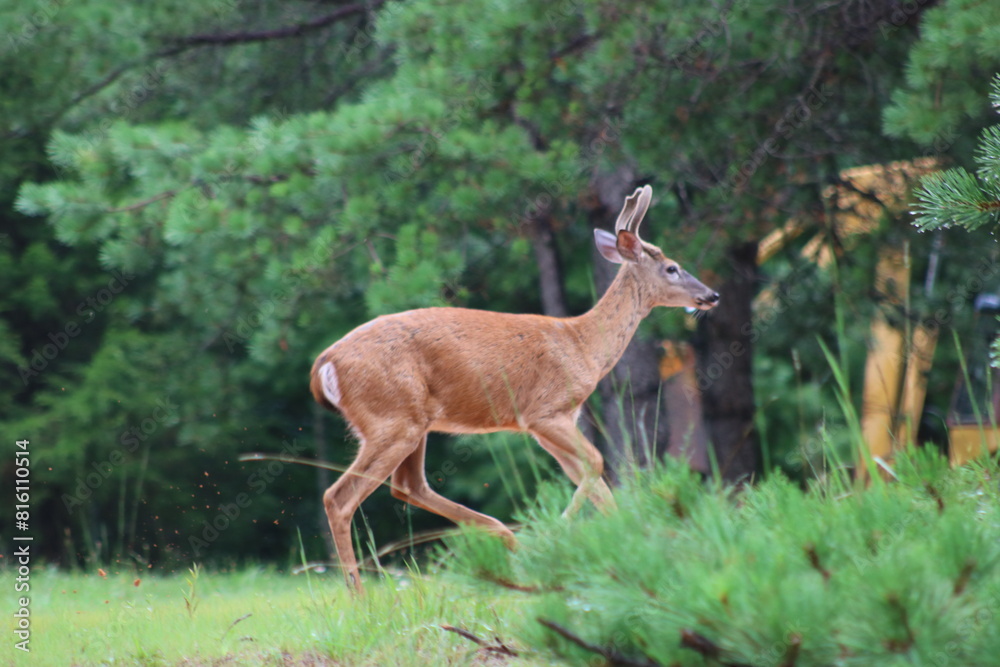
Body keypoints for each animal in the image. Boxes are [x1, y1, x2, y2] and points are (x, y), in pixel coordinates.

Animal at [309, 185, 719, 590]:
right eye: (672, 268)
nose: (712, 295)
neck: (582, 345)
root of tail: (324, 364)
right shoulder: (544, 412)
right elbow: (597, 463)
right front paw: (560, 530)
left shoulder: (553, 422)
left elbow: (591, 478)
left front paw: (632, 542)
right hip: (392, 418)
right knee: (338, 498)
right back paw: (359, 594)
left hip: (413, 421)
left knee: (408, 485)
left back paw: (507, 540)